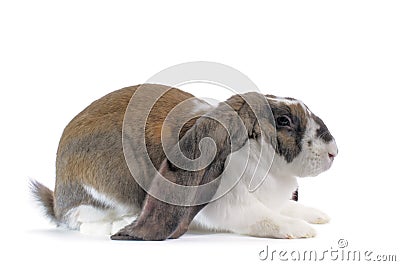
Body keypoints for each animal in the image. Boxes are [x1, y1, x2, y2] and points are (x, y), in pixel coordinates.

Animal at [32, 83, 338, 241]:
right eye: (284, 121)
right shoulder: (233, 206)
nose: (333, 151)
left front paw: (317, 216)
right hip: (102, 194)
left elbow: (284, 207)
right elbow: (264, 218)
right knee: (81, 220)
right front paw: (300, 231)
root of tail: (58, 199)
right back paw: (119, 223)